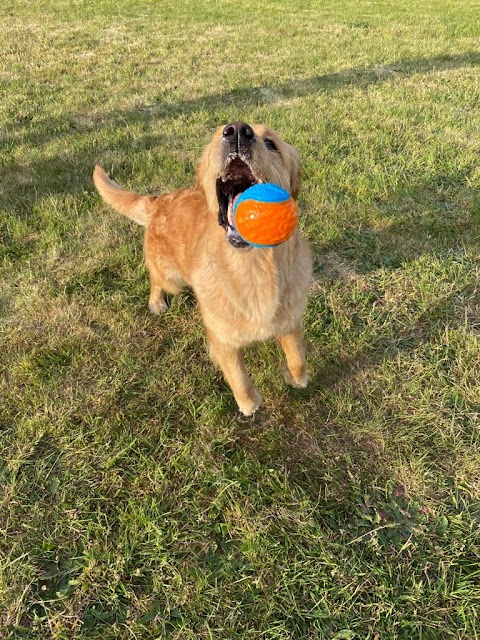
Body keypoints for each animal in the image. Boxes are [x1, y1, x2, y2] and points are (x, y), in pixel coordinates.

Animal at [93, 122, 312, 418]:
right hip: (172, 279)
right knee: (156, 279)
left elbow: (298, 358)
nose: (238, 130)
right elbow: (238, 377)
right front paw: (249, 404)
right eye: (220, 133)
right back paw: (156, 302)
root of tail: (159, 200)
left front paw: (295, 378)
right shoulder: (221, 339)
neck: (254, 266)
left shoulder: (290, 320)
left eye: (271, 143)